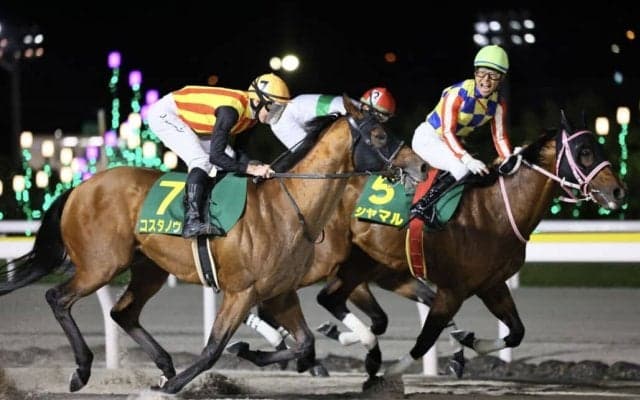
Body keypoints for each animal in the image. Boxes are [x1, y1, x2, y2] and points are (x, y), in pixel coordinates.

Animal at [0, 94, 428, 394]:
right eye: (378, 135)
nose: (421, 166)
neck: (288, 205)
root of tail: (81, 186)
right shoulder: (242, 291)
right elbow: (212, 349)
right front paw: (175, 386)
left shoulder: (280, 292)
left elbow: (305, 344)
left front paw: (249, 352)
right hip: (100, 264)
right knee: (58, 298)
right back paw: (84, 369)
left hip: (147, 267)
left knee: (123, 312)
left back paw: (164, 365)